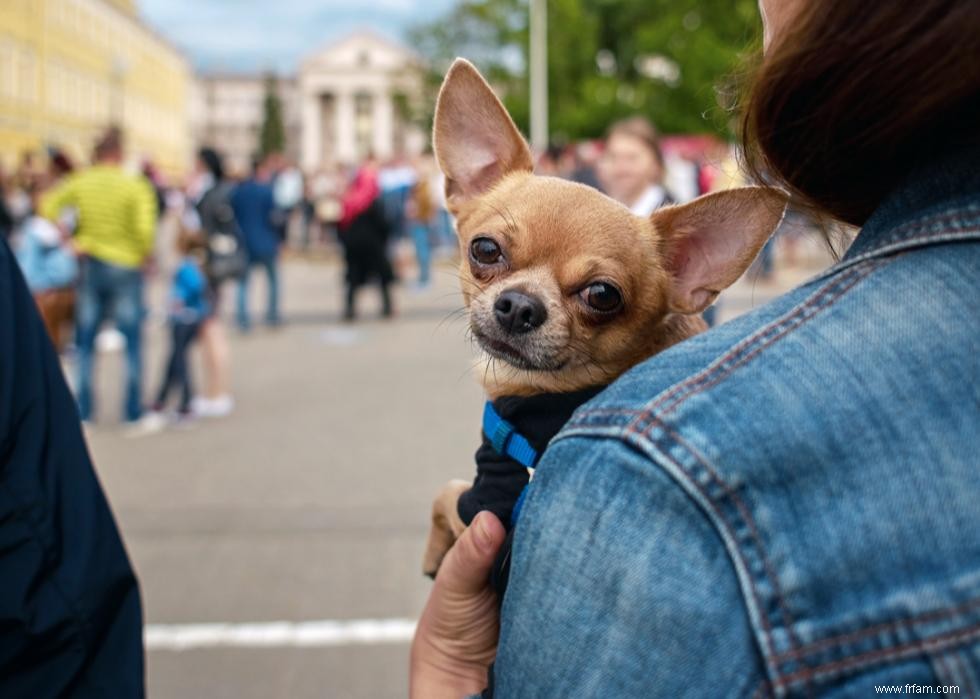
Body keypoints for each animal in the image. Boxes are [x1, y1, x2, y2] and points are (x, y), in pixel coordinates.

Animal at [422, 61, 788, 584]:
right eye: (485, 249)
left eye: (602, 295)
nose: (519, 305)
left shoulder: (484, 508)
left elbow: (445, 494)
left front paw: (434, 554)